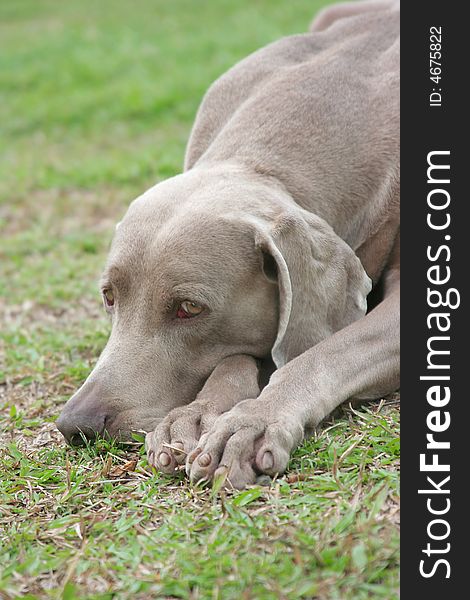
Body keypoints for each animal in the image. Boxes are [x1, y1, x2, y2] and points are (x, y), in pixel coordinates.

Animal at [56, 0, 400, 488]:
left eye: (190, 308)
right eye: (109, 297)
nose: (76, 425)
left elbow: (321, 354)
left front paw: (252, 422)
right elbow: (234, 356)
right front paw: (194, 416)